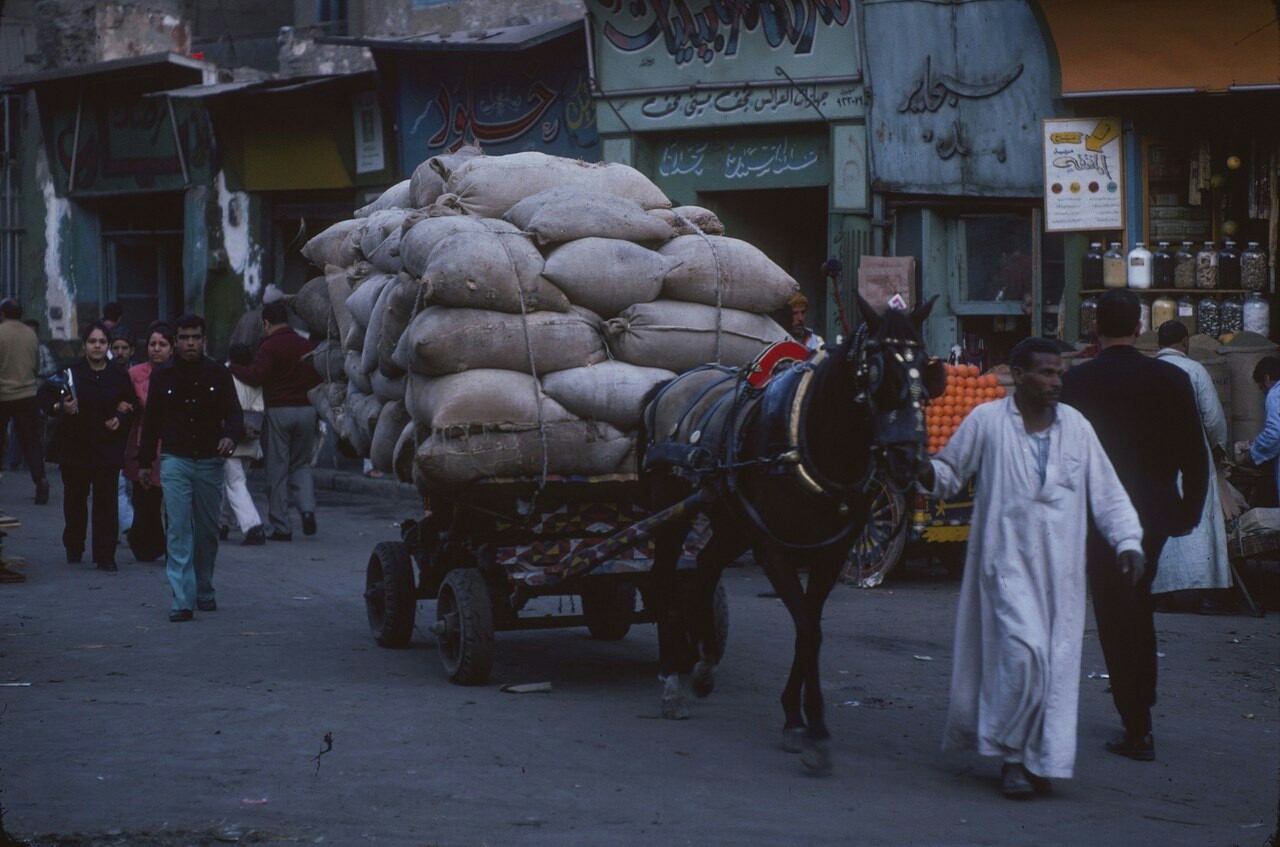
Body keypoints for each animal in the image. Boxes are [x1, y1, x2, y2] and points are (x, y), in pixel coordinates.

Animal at [637, 295, 942, 772]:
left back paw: (704, 663)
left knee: (704, 569)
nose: (912, 462)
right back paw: (671, 679)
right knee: (664, 579)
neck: (812, 438)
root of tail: (669, 386)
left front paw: (799, 719)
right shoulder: (773, 549)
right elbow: (808, 629)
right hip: (671, 511)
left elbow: (809, 627)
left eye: (923, 374)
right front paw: (811, 727)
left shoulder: (829, 552)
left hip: (732, 520)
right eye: (877, 372)